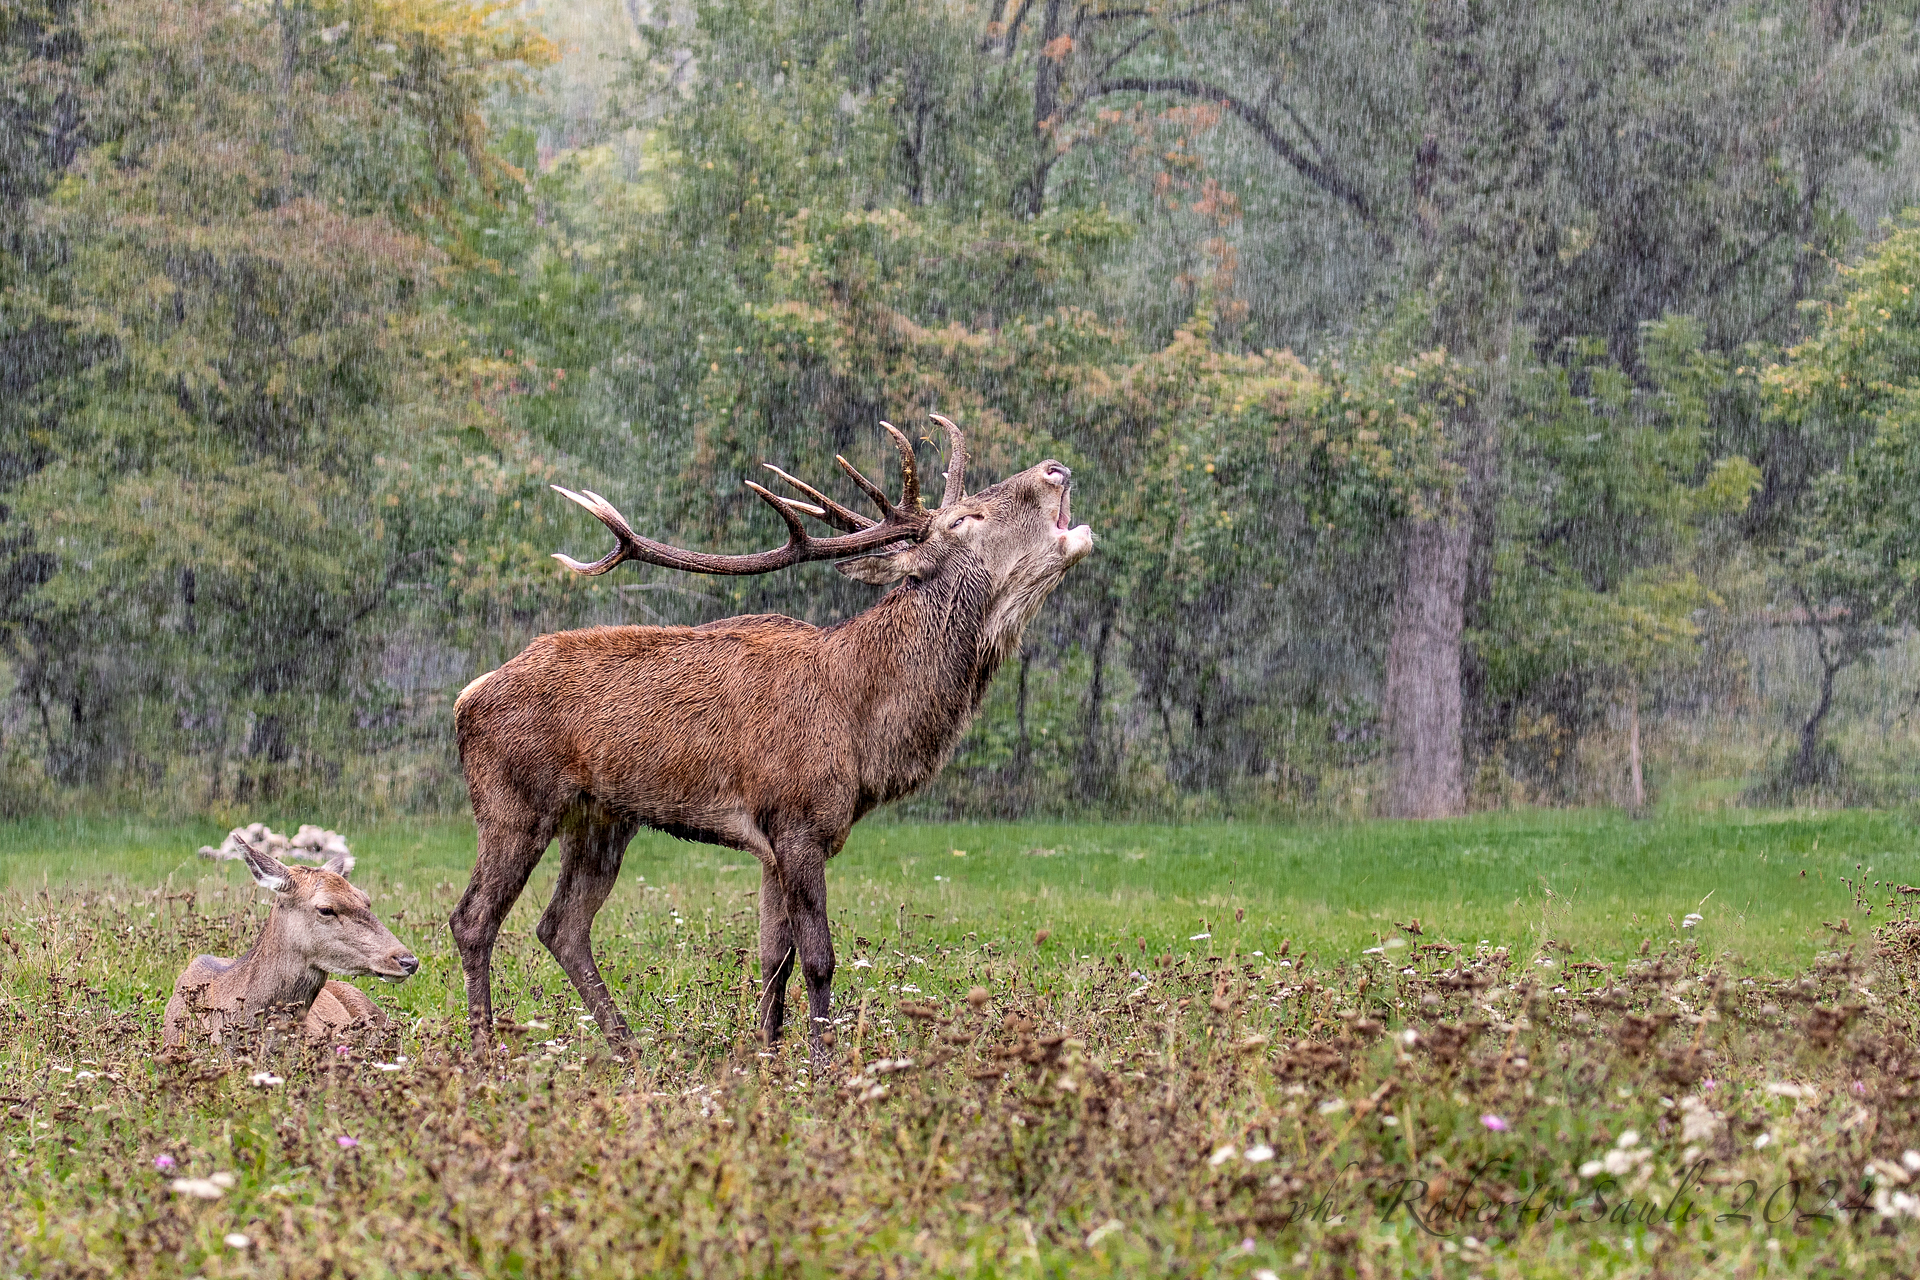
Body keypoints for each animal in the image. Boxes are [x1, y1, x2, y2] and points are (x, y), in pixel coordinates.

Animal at [450, 414, 1093, 1063]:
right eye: (964, 519)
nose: (1056, 468)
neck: (862, 728)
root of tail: (467, 696)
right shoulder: (796, 820)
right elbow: (817, 959)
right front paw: (821, 1063)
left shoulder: (775, 844)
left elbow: (772, 960)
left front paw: (768, 1055)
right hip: (514, 802)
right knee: (473, 920)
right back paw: (484, 1052)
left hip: (601, 818)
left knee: (561, 925)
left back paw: (628, 1048)